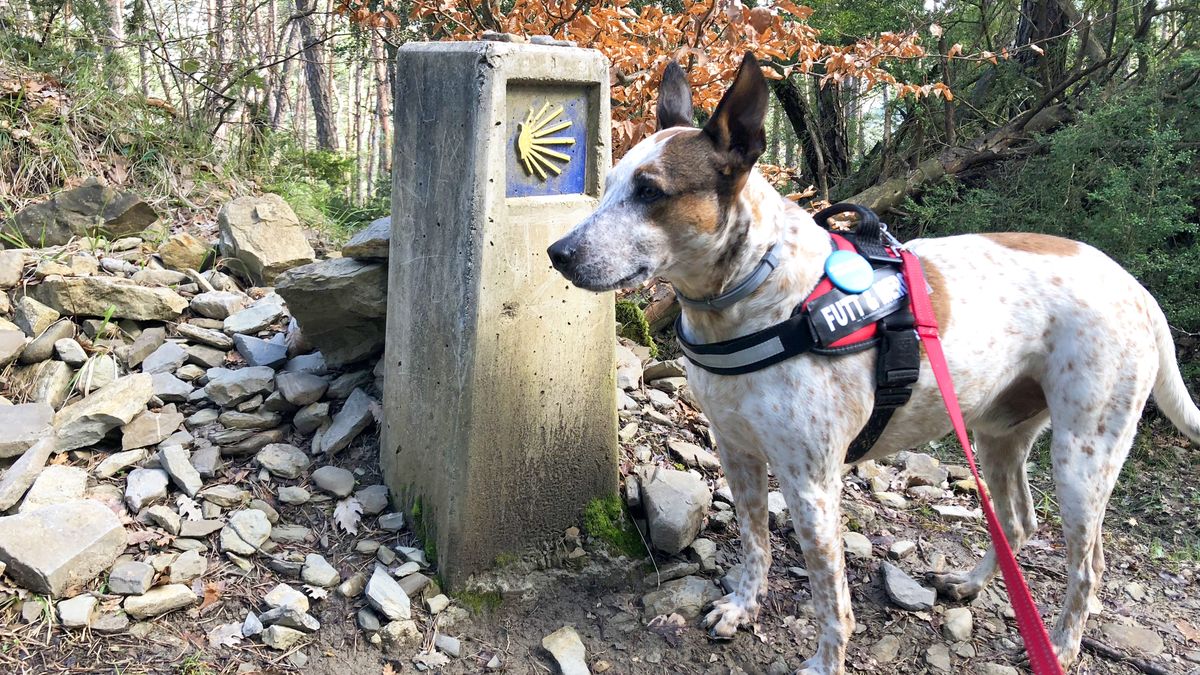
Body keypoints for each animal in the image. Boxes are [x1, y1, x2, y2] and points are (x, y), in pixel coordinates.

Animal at [549, 53, 1200, 672]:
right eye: (611, 183)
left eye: (651, 192)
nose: (558, 252)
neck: (757, 292)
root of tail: (1137, 289)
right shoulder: (738, 454)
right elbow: (755, 543)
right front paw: (742, 606)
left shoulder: (811, 484)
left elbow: (830, 596)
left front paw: (825, 662)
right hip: (997, 436)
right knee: (1017, 523)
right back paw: (968, 585)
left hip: (1082, 458)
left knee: (1088, 565)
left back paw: (1062, 645)